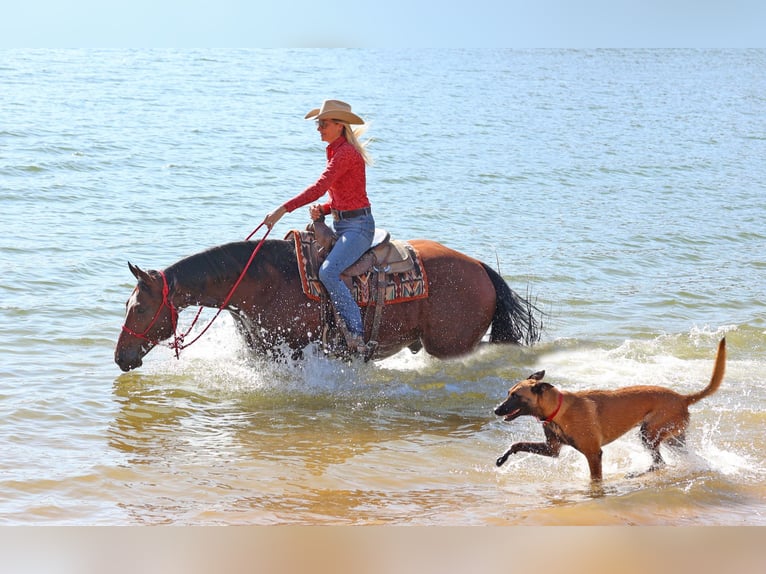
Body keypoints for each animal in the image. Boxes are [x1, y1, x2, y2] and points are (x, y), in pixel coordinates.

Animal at [117, 235, 544, 374]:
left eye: (139, 308)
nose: (121, 357)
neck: (261, 283)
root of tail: (481, 268)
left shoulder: (292, 352)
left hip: (451, 346)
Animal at [496, 340, 728, 484]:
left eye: (515, 395)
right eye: (508, 393)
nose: (496, 410)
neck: (557, 409)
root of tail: (683, 397)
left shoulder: (593, 454)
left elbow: (595, 479)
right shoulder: (552, 449)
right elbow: (517, 444)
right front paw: (503, 457)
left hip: (649, 433)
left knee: (659, 463)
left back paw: (636, 474)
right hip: (673, 439)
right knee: (669, 460)